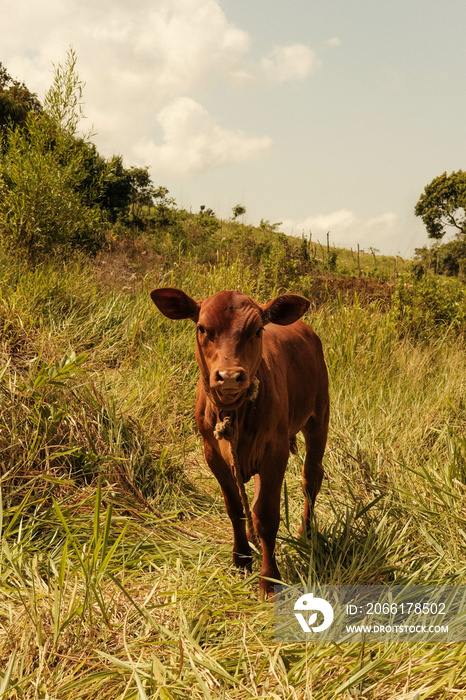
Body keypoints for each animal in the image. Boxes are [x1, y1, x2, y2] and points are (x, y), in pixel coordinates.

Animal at [151, 288, 330, 600]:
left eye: (257, 330)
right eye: (202, 328)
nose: (230, 376)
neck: (234, 412)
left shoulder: (275, 452)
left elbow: (267, 516)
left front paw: (270, 580)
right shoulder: (212, 453)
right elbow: (235, 507)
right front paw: (241, 558)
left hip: (319, 417)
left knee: (311, 477)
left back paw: (305, 533)